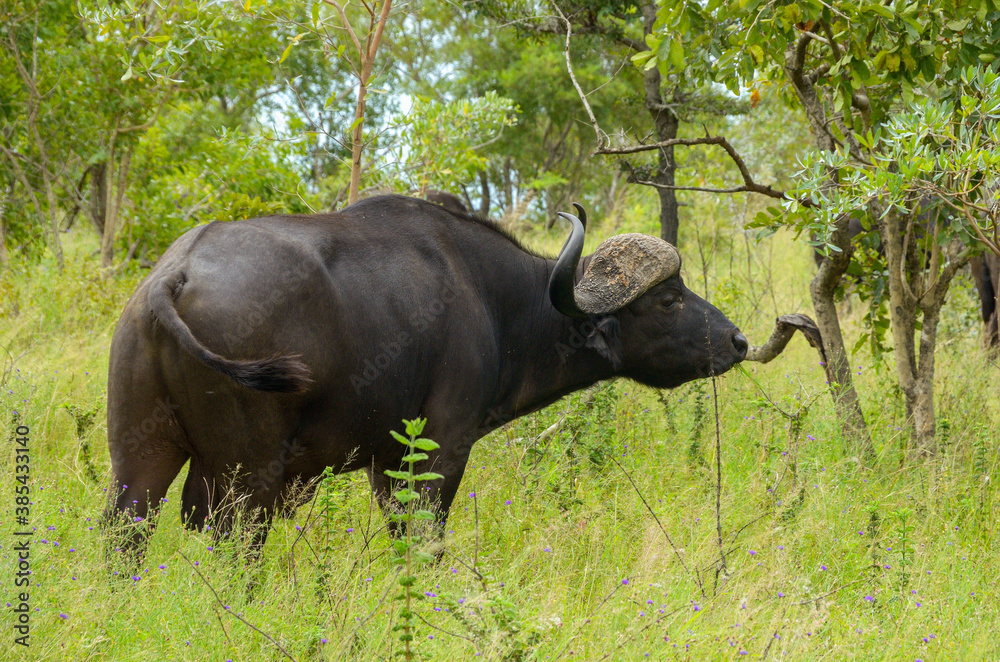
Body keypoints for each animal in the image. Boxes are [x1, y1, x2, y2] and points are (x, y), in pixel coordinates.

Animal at [105, 195, 747, 557]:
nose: (738, 341)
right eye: (668, 298)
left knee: (124, 539)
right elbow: (425, 543)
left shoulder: (384, 462)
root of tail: (175, 276)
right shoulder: (440, 451)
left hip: (141, 461)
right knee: (237, 547)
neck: (494, 298)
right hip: (248, 481)